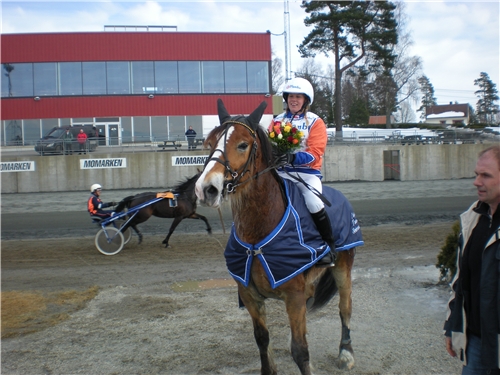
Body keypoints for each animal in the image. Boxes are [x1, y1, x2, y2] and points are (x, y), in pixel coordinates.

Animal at [195, 100, 360, 375]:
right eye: (210, 143)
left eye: (242, 144)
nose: (206, 189)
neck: (257, 233)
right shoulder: (249, 295)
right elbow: (262, 338)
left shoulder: (294, 298)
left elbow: (300, 351)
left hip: (344, 266)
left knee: (345, 309)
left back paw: (346, 352)